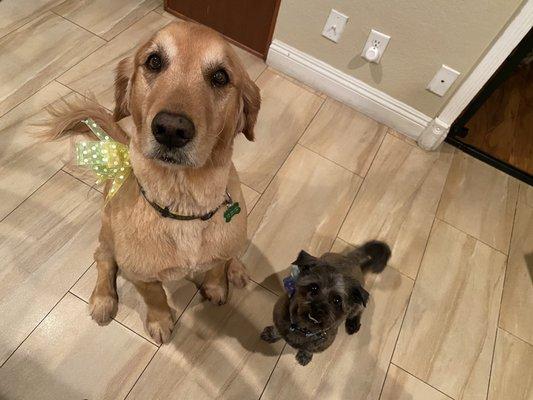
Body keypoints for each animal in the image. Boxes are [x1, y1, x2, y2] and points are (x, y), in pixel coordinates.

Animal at [260, 241, 388, 366]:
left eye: (337, 300)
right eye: (314, 288)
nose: (318, 309)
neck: (303, 328)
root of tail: (353, 260)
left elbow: (309, 349)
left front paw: (305, 355)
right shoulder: (279, 320)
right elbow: (277, 330)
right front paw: (271, 334)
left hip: (357, 305)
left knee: (359, 310)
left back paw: (353, 323)